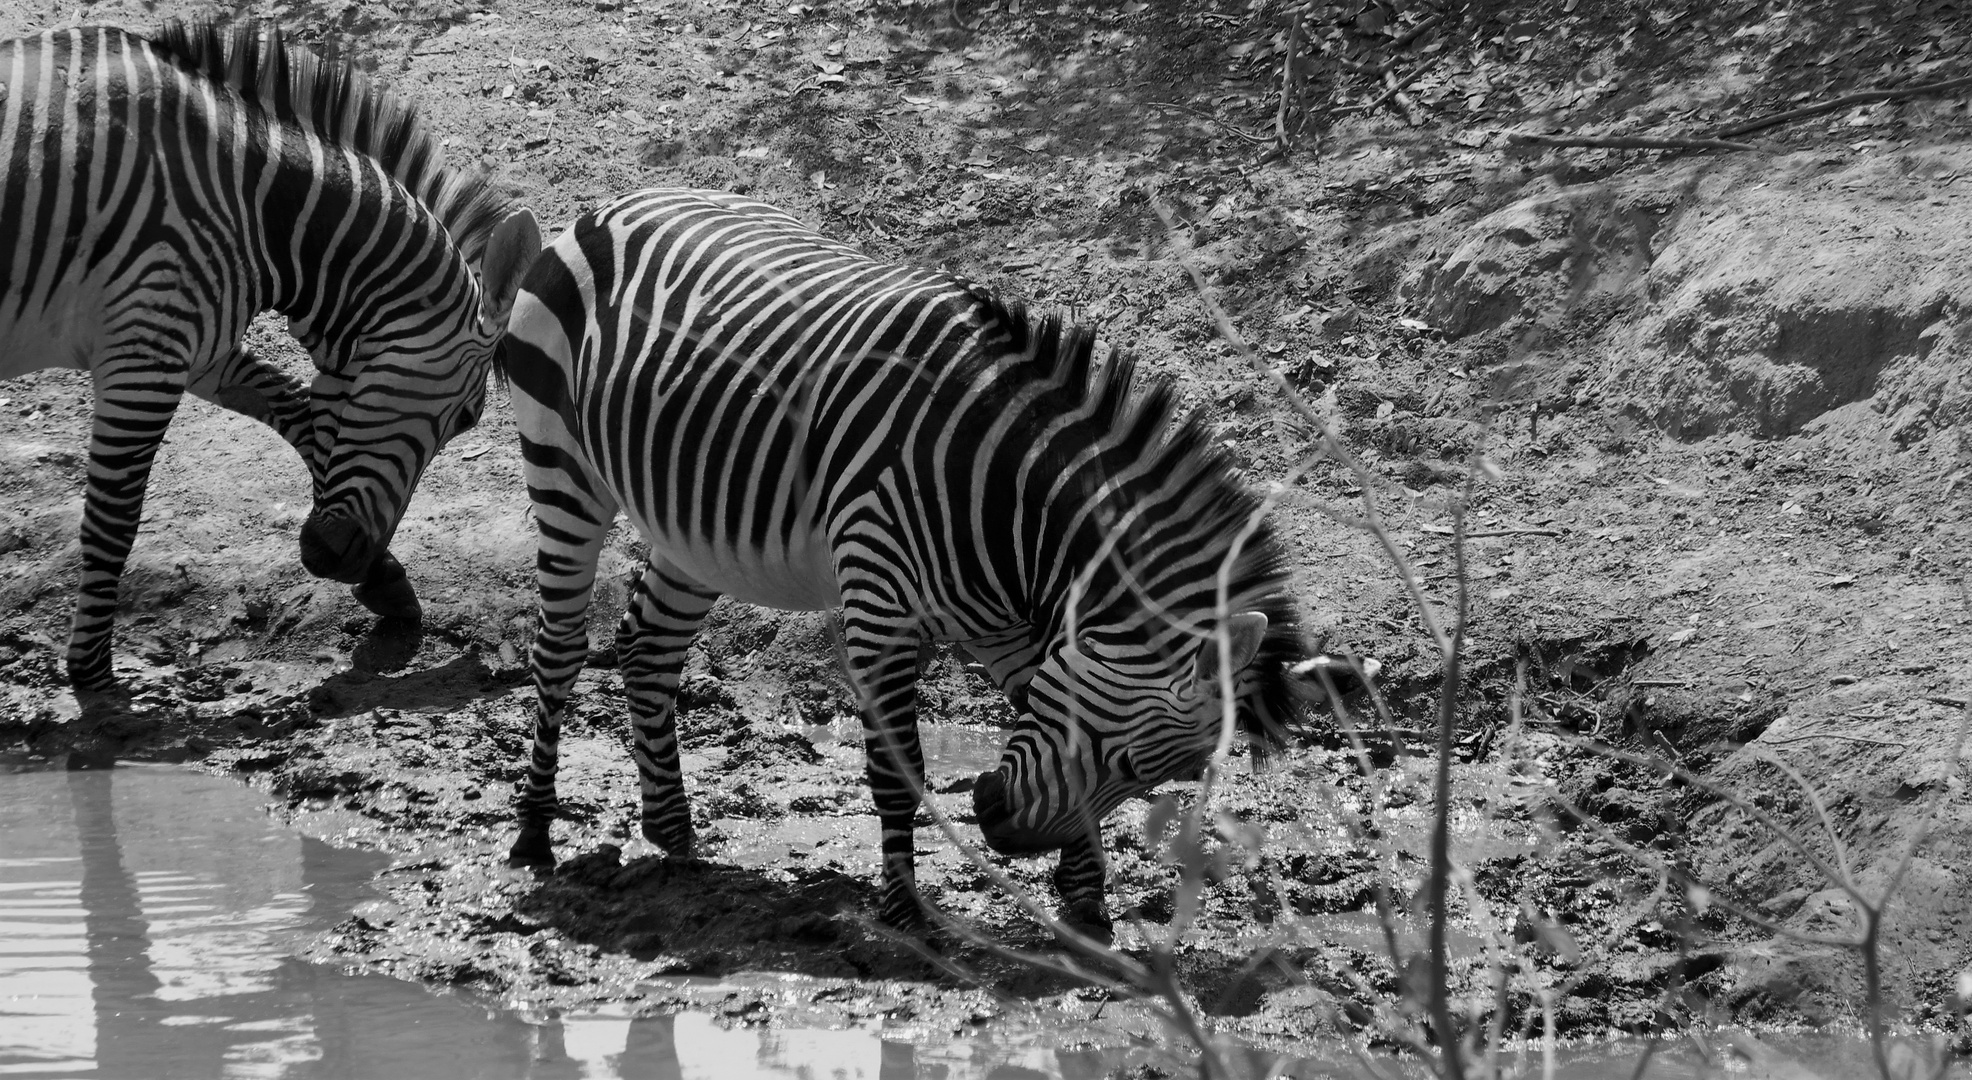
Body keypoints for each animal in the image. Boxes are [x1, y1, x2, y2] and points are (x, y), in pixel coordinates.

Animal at [0, 21, 540, 685]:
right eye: (466, 419)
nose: (337, 557)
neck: (255, 212)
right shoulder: (147, 347)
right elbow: (114, 518)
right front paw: (94, 679)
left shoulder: (197, 340)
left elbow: (301, 415)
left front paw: (382, 577)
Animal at [504, 188, 1309, 938]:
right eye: (1131, 764)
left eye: (1148, 778)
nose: (999, 828)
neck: (1004, 503)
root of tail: (617, 203)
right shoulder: (879, 606)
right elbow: (899, 773)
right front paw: (903, 910)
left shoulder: (1005, 631)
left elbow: (1029, 720)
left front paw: (1085, 906)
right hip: (562, 466)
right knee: (559, 648)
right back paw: (534, 832)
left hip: (695, 524)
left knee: (647, 648)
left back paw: (672, 830)